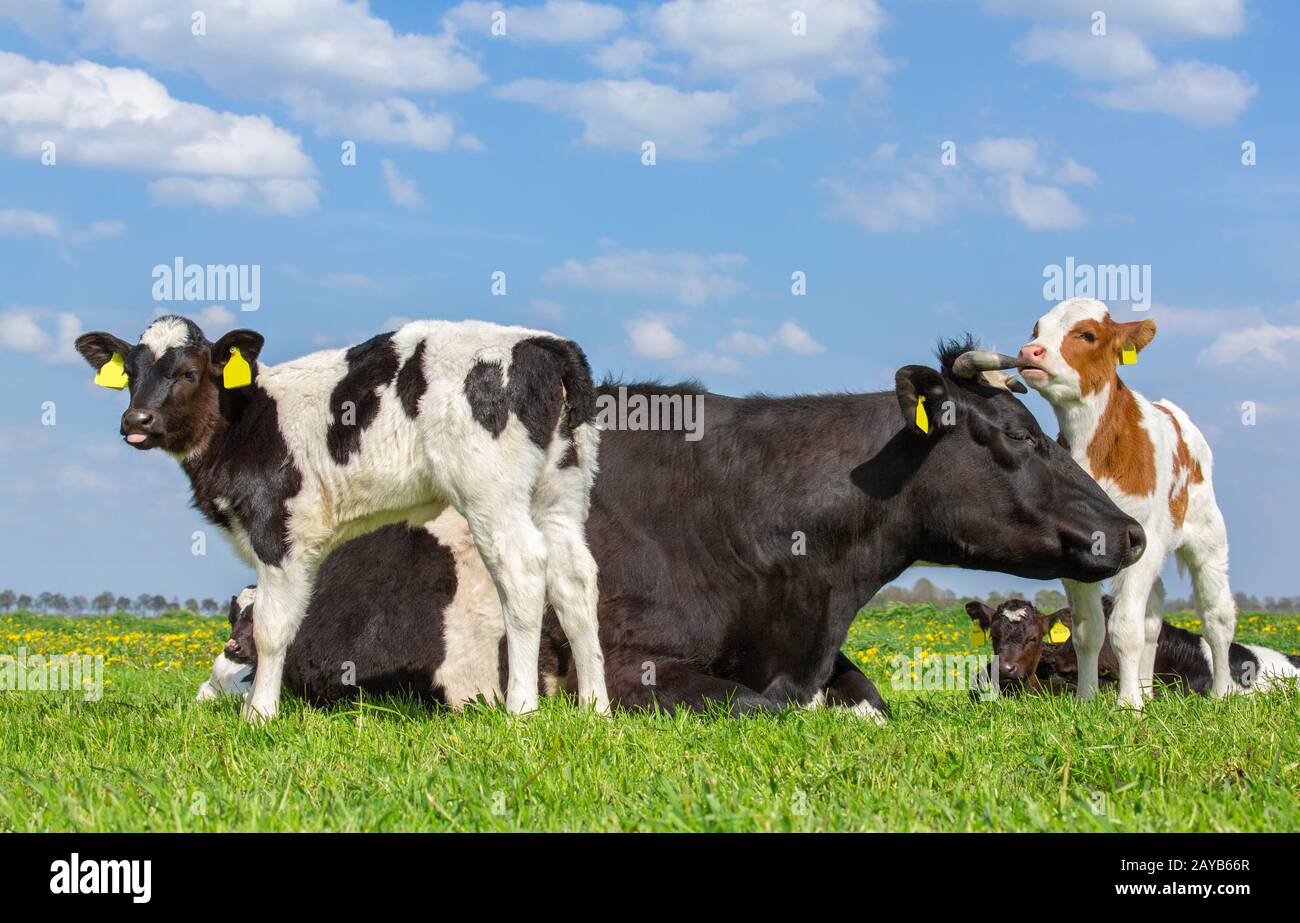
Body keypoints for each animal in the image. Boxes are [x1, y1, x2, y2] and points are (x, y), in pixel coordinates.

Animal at [76, 314, 609, 721]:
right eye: (130, 374)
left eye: (188, 371)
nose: (137, 421)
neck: (244, 418)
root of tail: (544, 342)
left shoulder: (279, 531)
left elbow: (271, 627)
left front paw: (258, 714)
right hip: (560, 492)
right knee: (575, 580)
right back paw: (594, 709)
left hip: (491, 492)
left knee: (523, 573)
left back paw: (521, 708)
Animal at [1015, 297, 1235, 709]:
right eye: (1037, 330)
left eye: (1087, 335)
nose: (1029, 351)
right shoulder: (1077, 552)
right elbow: (1088, 631)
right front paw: (1087, 699)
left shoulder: (1143, 540)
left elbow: (1124, 629)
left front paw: (1128, 705)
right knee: (1153, 620)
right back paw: (1148, 691)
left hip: (1207, 537)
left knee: (1217, 617)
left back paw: (1221, 693)